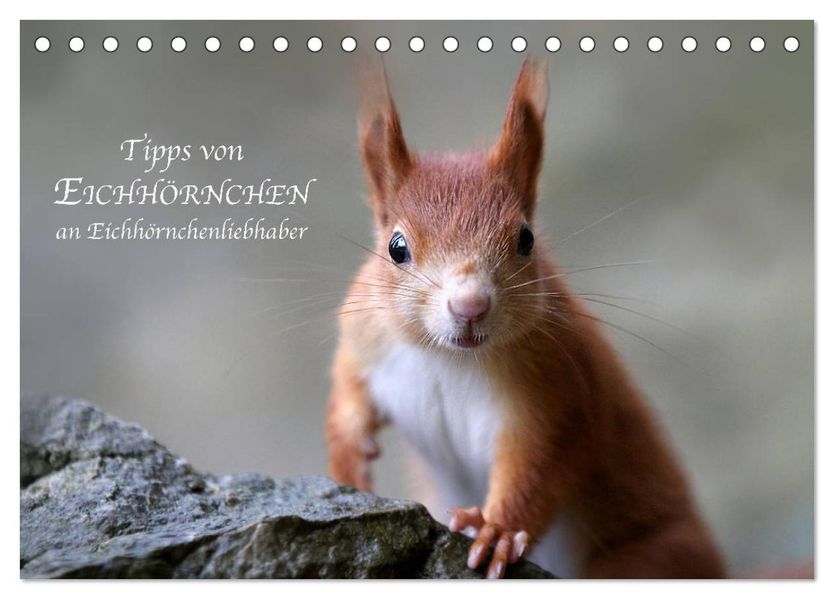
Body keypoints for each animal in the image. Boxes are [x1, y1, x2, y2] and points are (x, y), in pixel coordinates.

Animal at [326, 59, 725, 579]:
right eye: (396, 247)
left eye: (526, 239)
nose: (470, 306)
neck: (446, 358)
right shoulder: (365, 336)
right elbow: (347, 388)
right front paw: (347, 455)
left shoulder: (558, 388)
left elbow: (539, 467)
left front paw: (497, 531)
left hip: (651, 559)